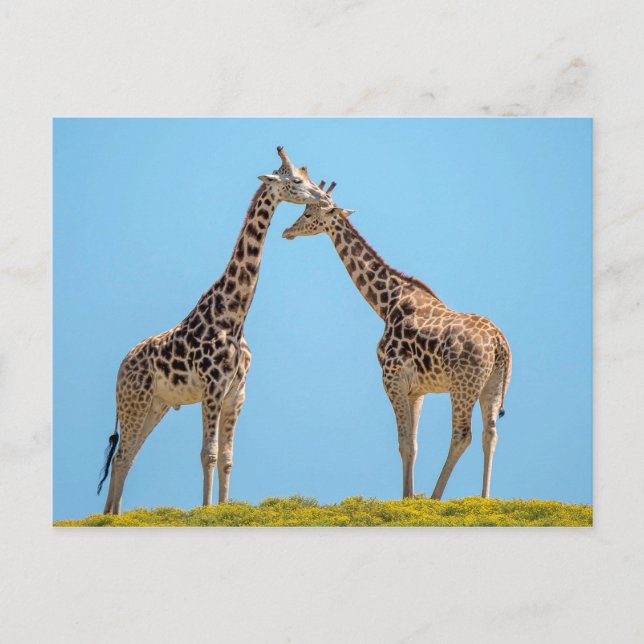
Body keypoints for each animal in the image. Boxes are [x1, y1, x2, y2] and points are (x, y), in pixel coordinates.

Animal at [97, 147, 332, 514]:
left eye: (309, 178)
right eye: (296, 181)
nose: (323, 198)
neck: (234, 314)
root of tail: (121, 368)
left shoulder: (236, 393)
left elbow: (227, 458)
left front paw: (223, 508)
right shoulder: (212, 387)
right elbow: (207, 454)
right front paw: (206, 511)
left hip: (156, 404)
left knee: (127, 457)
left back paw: (112, 516)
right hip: (134, 400)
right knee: (122, 455)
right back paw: (109, 517)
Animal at [282, 182, 512, 500]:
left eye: (306, 213)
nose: (286, 231)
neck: (386, 303)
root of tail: (500, 344)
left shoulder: (391, 379)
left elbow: (403, 443)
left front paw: (408, 500)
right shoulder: (417, 390)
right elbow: (412, 445)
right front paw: (407, 497)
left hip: (463, 384)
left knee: (462, 435)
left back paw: (436, 498)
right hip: (492, 384)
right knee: (490, 434)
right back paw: (484, 500)